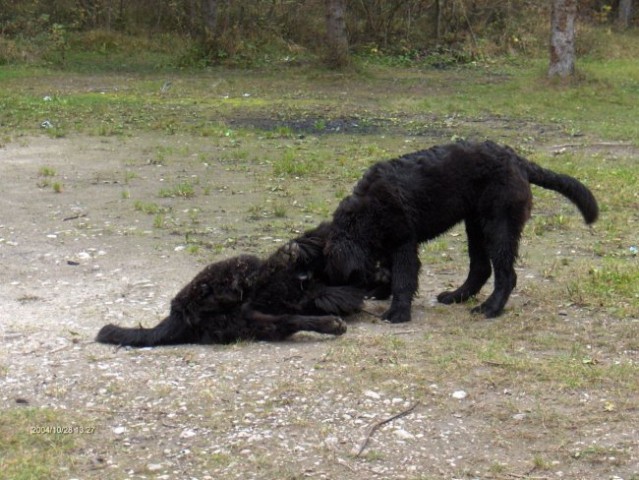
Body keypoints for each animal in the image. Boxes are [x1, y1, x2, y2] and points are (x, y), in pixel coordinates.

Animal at [97, 227, 372, 346]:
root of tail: (178, 314)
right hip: (242, 272)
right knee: (270, 282)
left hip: (249, 323)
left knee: (286, 317)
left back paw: (329, 321)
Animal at [324, 141, 600, 324]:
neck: (364, 212)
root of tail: (518, 161)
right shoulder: (389, 244)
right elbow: (389, 270)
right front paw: (381, 292)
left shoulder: (404, 244)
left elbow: (403, 278)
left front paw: (398, 312)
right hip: (476, 225)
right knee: (481, 268)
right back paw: (458, 296)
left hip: (498, 227)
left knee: (506, 275)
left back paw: (490, 308)